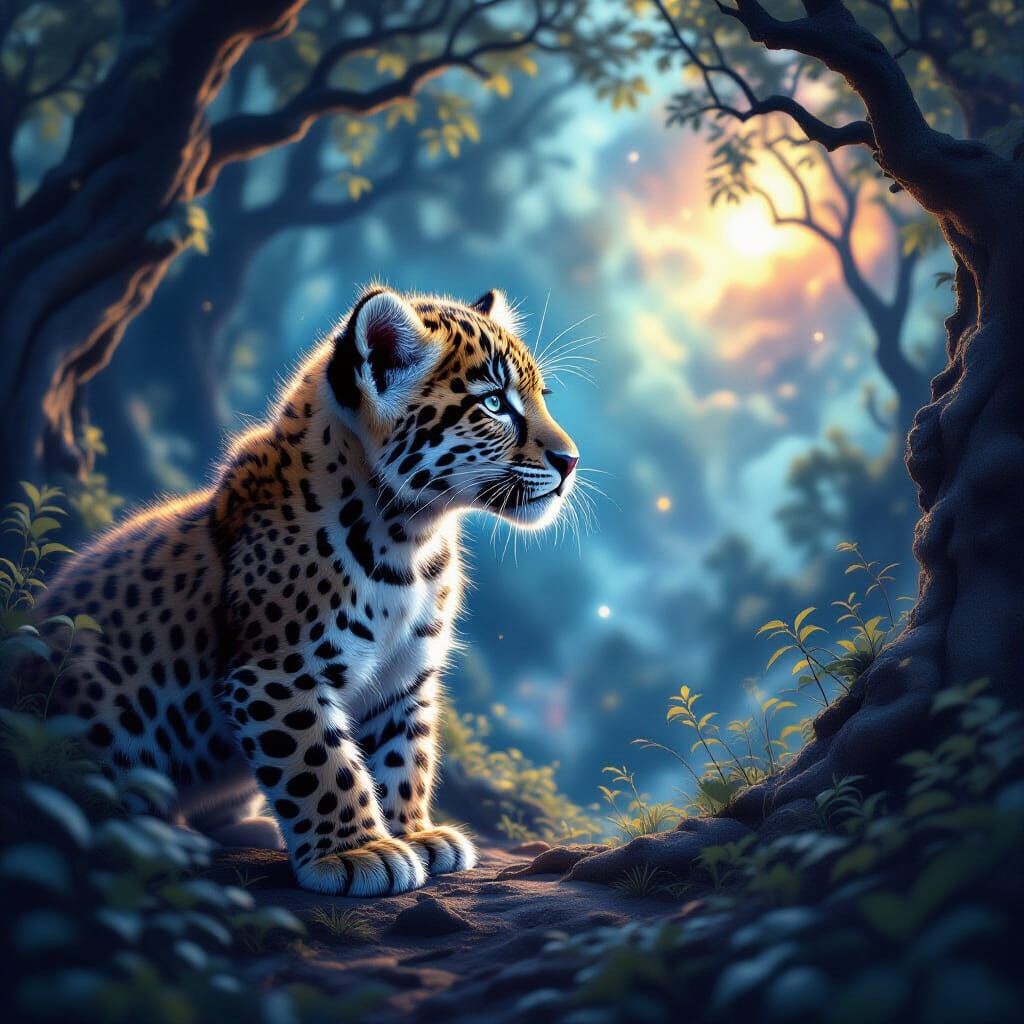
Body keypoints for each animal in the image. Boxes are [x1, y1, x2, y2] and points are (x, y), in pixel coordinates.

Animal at [39, 285, 580, 897]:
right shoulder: (276, 673)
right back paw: (158, 833)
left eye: (540, 397)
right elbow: (322, 765)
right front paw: (360, 853)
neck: (413, 538)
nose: (571, 461)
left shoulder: (405, 679)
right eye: (492, 404)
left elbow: (404, 756)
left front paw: (414, 835)